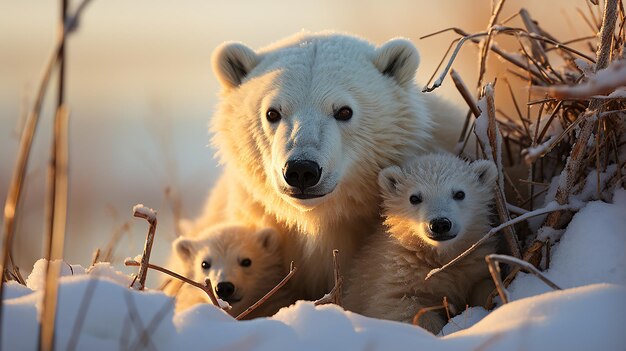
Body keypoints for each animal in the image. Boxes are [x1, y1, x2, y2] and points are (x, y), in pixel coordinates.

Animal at [342, 155, 498, 336]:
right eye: (414, 198)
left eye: (460, 193)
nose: (440, 224)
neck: (440, 257)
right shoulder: (395, 276)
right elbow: (396, 306)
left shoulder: (471, 263)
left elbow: (484, 283)